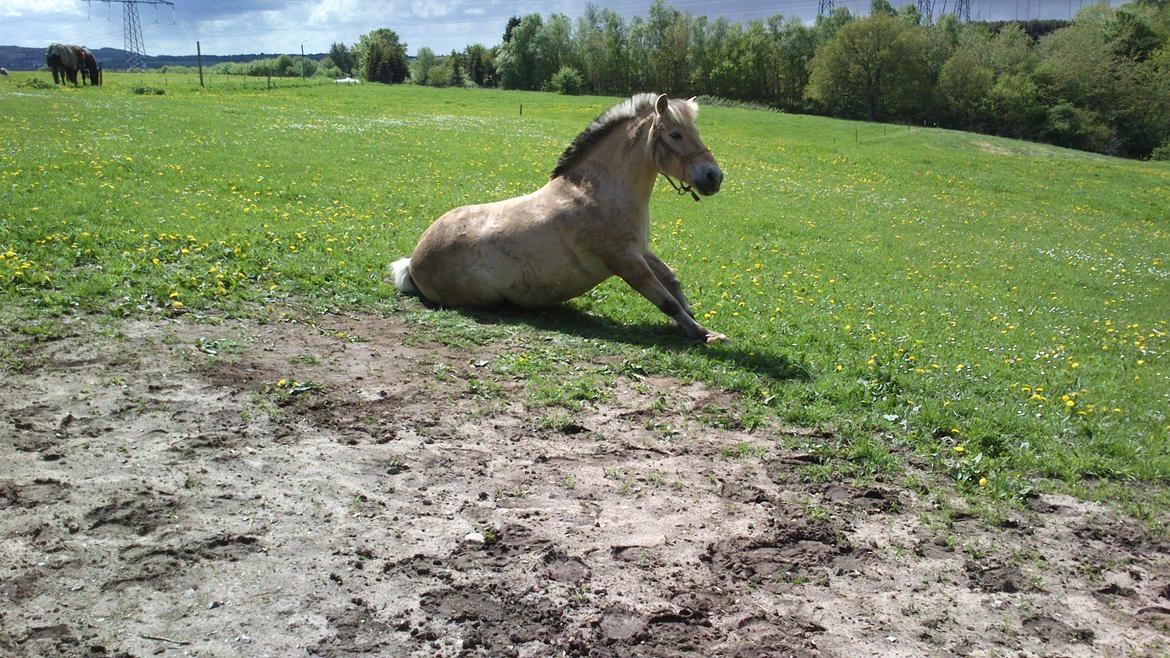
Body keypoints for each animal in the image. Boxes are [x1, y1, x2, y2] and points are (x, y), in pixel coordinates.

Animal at [390, 93, 720, 344]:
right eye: (675, 134)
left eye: (697, 133)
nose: (714, 176)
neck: (598, 193)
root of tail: (413, 261)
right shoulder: (625, 260)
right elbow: (664, 299)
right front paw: (703, 333)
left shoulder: (638, 250)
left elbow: (671, 280)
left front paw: (692, 321)